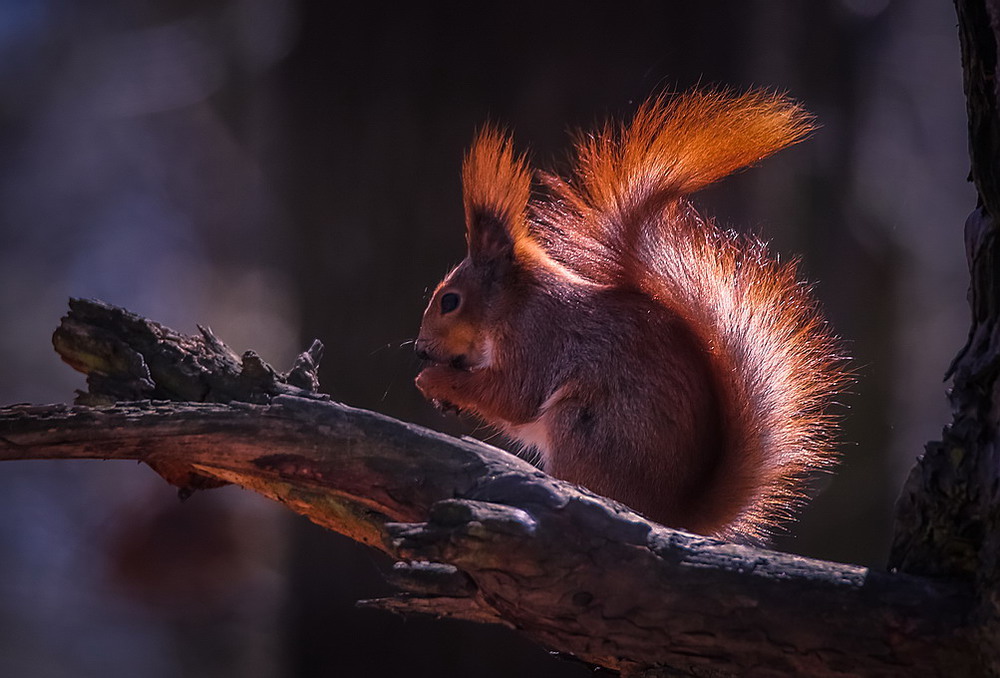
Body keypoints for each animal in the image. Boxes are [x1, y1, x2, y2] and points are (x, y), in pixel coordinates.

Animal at [418, 89, 848, 548]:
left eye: (449, 301)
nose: (422, 349)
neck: (517, 302)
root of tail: (672, 514)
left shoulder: (537, 340)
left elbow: (512, 397)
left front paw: (434, 380)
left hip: (585, 426)